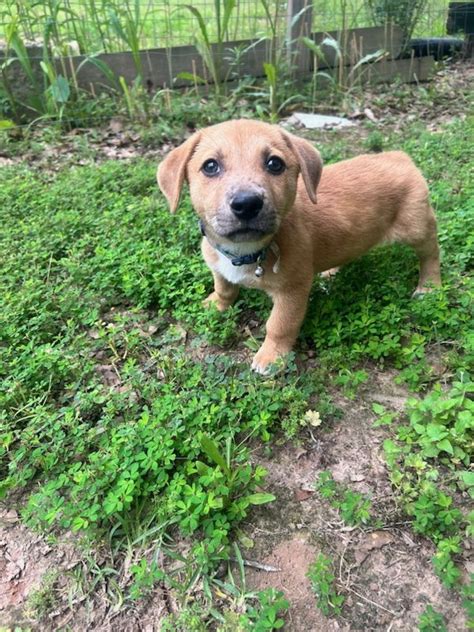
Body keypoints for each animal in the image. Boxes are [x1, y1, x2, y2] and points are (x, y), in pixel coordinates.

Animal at [156, 119, 440, 370]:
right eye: (210, 166)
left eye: (274, 163)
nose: (247, 204)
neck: (245, 253)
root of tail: (399, 156)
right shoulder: (219, 268)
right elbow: (224, 288)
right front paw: (215, 305)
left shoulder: (292, 291)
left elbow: (279, 325)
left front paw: (272, 358)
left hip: (416, 227)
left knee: (431, 252)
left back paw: (429, 286)